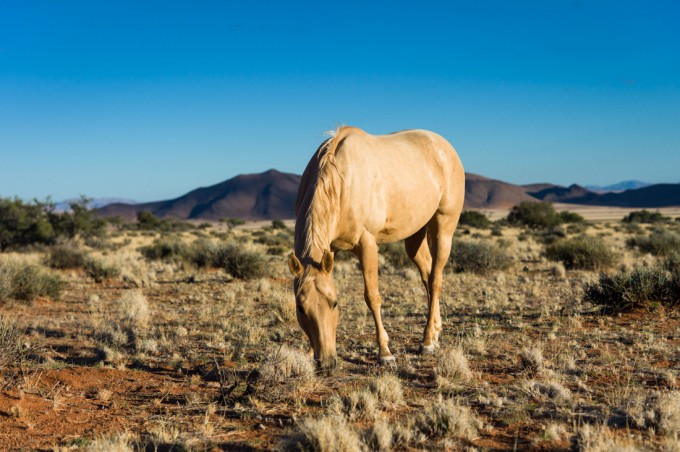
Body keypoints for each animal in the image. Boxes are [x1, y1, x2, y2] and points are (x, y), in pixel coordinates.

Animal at [286, 126, 468, 370]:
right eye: (300, 308)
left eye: (335, 304)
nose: (326, 362)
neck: (341, 181)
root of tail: (444, 146)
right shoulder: (329, 250)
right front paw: (308, 352)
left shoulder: (367, 244)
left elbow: (372, 297)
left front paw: (385, 353)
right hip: (414, 237)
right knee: (427, 275)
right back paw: (435, 332)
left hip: (443, 228)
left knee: (435, 280)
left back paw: (427, 342)